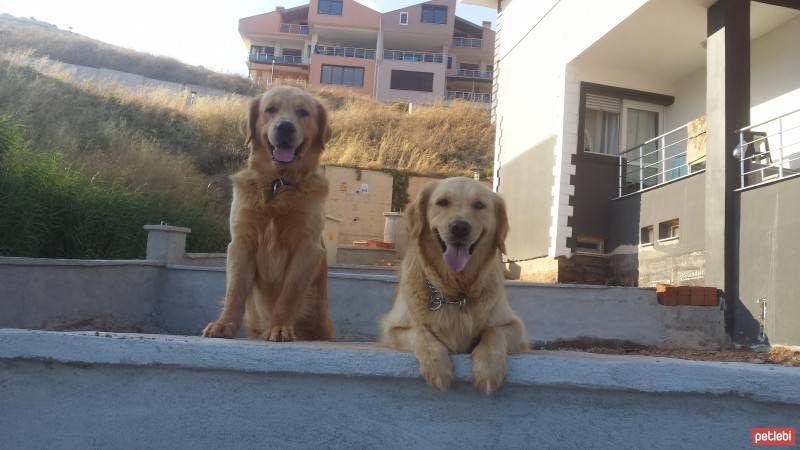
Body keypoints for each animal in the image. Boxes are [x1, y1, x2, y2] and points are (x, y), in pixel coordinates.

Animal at [203, 87, 338, 342]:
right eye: (271, 109)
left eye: (303, 112)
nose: (285, 126)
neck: (278, 184)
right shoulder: (241, 242)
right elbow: (235, 290)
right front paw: (224, 324)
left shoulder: (307, 246)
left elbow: (289, 294)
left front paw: (280, 327)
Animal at [380, 177, 524, 394]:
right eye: (442, 202)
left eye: (479, 205)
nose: (460, 227)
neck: (456, 291)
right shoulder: (391, 329)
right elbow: (422, 332)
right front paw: (437, 365)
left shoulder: (516, 327)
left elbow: (494, 332)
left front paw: (489, 368)